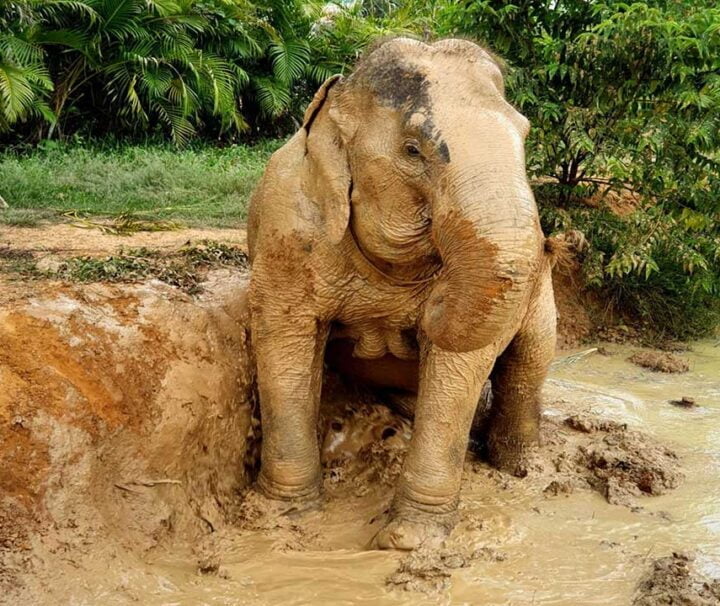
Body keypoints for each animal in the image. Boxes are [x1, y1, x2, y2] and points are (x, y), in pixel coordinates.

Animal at [247, 37, 557, 550]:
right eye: (413, 150)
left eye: (526, 134)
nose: (431, 302)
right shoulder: (285, 226)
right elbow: (283, 343)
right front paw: (283, 517)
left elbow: (459, 367)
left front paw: (409, 540)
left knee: (531, 357)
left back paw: (523, 472)